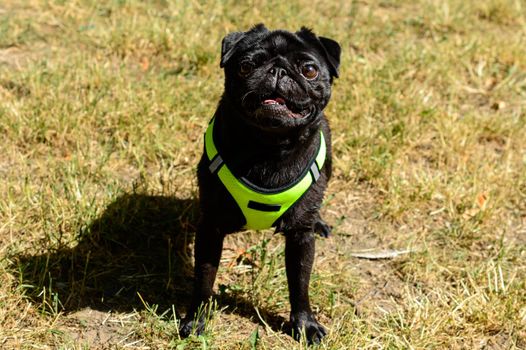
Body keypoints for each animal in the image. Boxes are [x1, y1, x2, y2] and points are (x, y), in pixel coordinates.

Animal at [183, 24, 342, 344]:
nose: (277, 70)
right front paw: (196, 320)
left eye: (309, 70)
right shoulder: (211, 229)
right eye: (246, 66)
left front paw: (304, 324)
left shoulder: (300, 238)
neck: (268, 147)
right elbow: (204, 279)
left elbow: (300, 283)